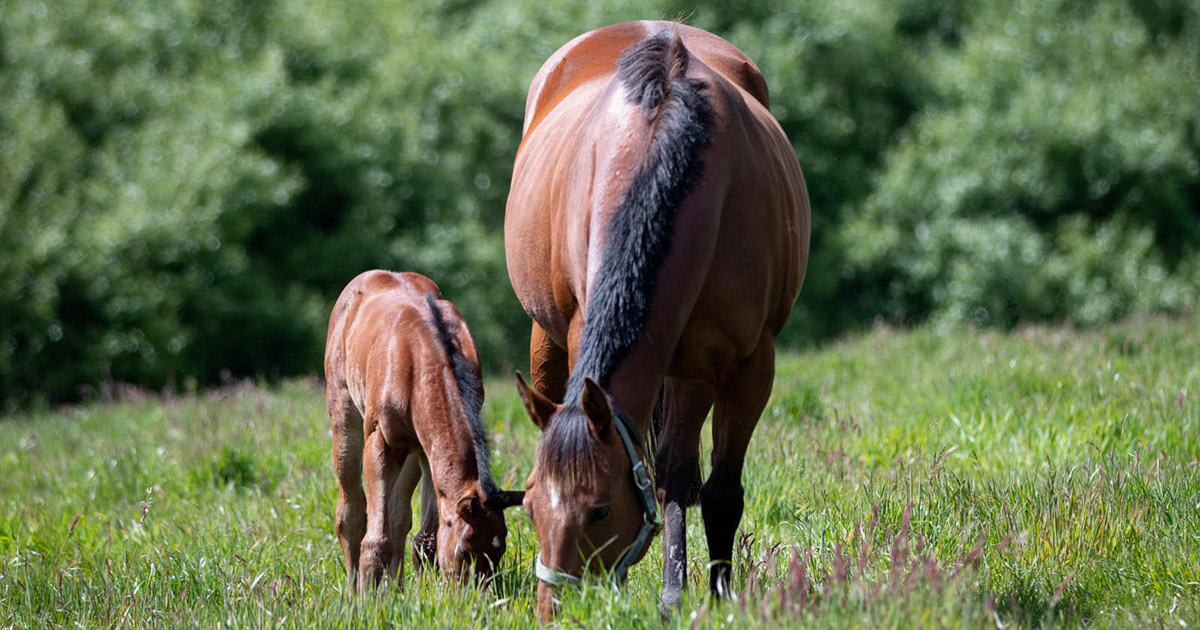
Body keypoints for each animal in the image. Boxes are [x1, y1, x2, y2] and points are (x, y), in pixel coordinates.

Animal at [324, 270, 524, 590]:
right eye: (465, 550)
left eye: (500, 550)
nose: (477, 596)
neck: (419, 360)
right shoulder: (380, 443)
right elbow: (375, 538)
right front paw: (368, 597)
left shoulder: (427, 449)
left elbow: (426, 539)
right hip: (344, 416)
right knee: (351, 512)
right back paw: (355, 588)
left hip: (411, 452)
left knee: (398, 517)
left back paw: (395, 588)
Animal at [504, 21, 810, 618]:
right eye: (528, 506)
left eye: (599, 509)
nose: (555, 611)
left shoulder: (743, 365)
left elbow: (716, 490)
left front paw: (711, 594)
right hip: (551, 340)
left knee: (679, 470)